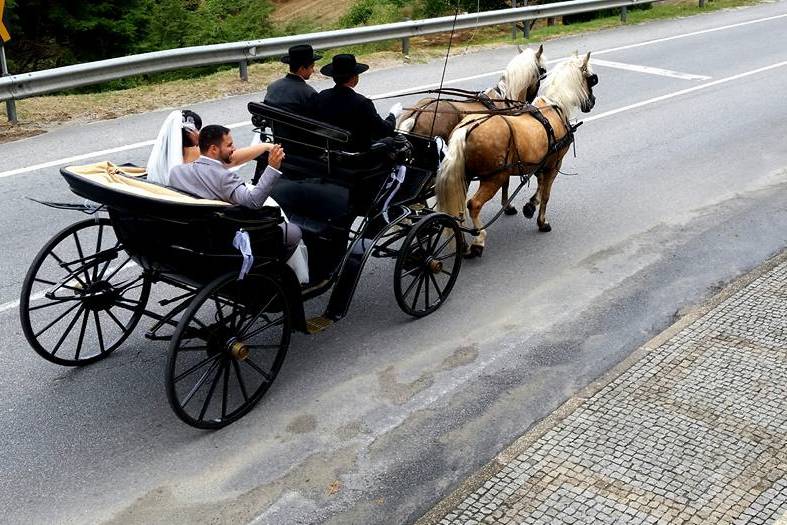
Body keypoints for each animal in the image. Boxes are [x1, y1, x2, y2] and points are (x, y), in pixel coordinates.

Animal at [400, 45, 548, 215]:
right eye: (542, 71)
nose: (530, 102)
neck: (502, 99)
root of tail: (418, 112)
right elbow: (505, 182)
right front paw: (507, 206)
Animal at [438, 52, 596, 256]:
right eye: (591, 79)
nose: (592, 102)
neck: (554, 106)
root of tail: (466, 128)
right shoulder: (554, 165)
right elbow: (546, 194)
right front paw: (542, 222)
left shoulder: (540, 163)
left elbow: (539, 185)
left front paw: (530, 206)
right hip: (493, 178)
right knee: (474, 204)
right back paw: (478, 240)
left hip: (464, 177)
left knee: (457, 207)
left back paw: (463, 243)